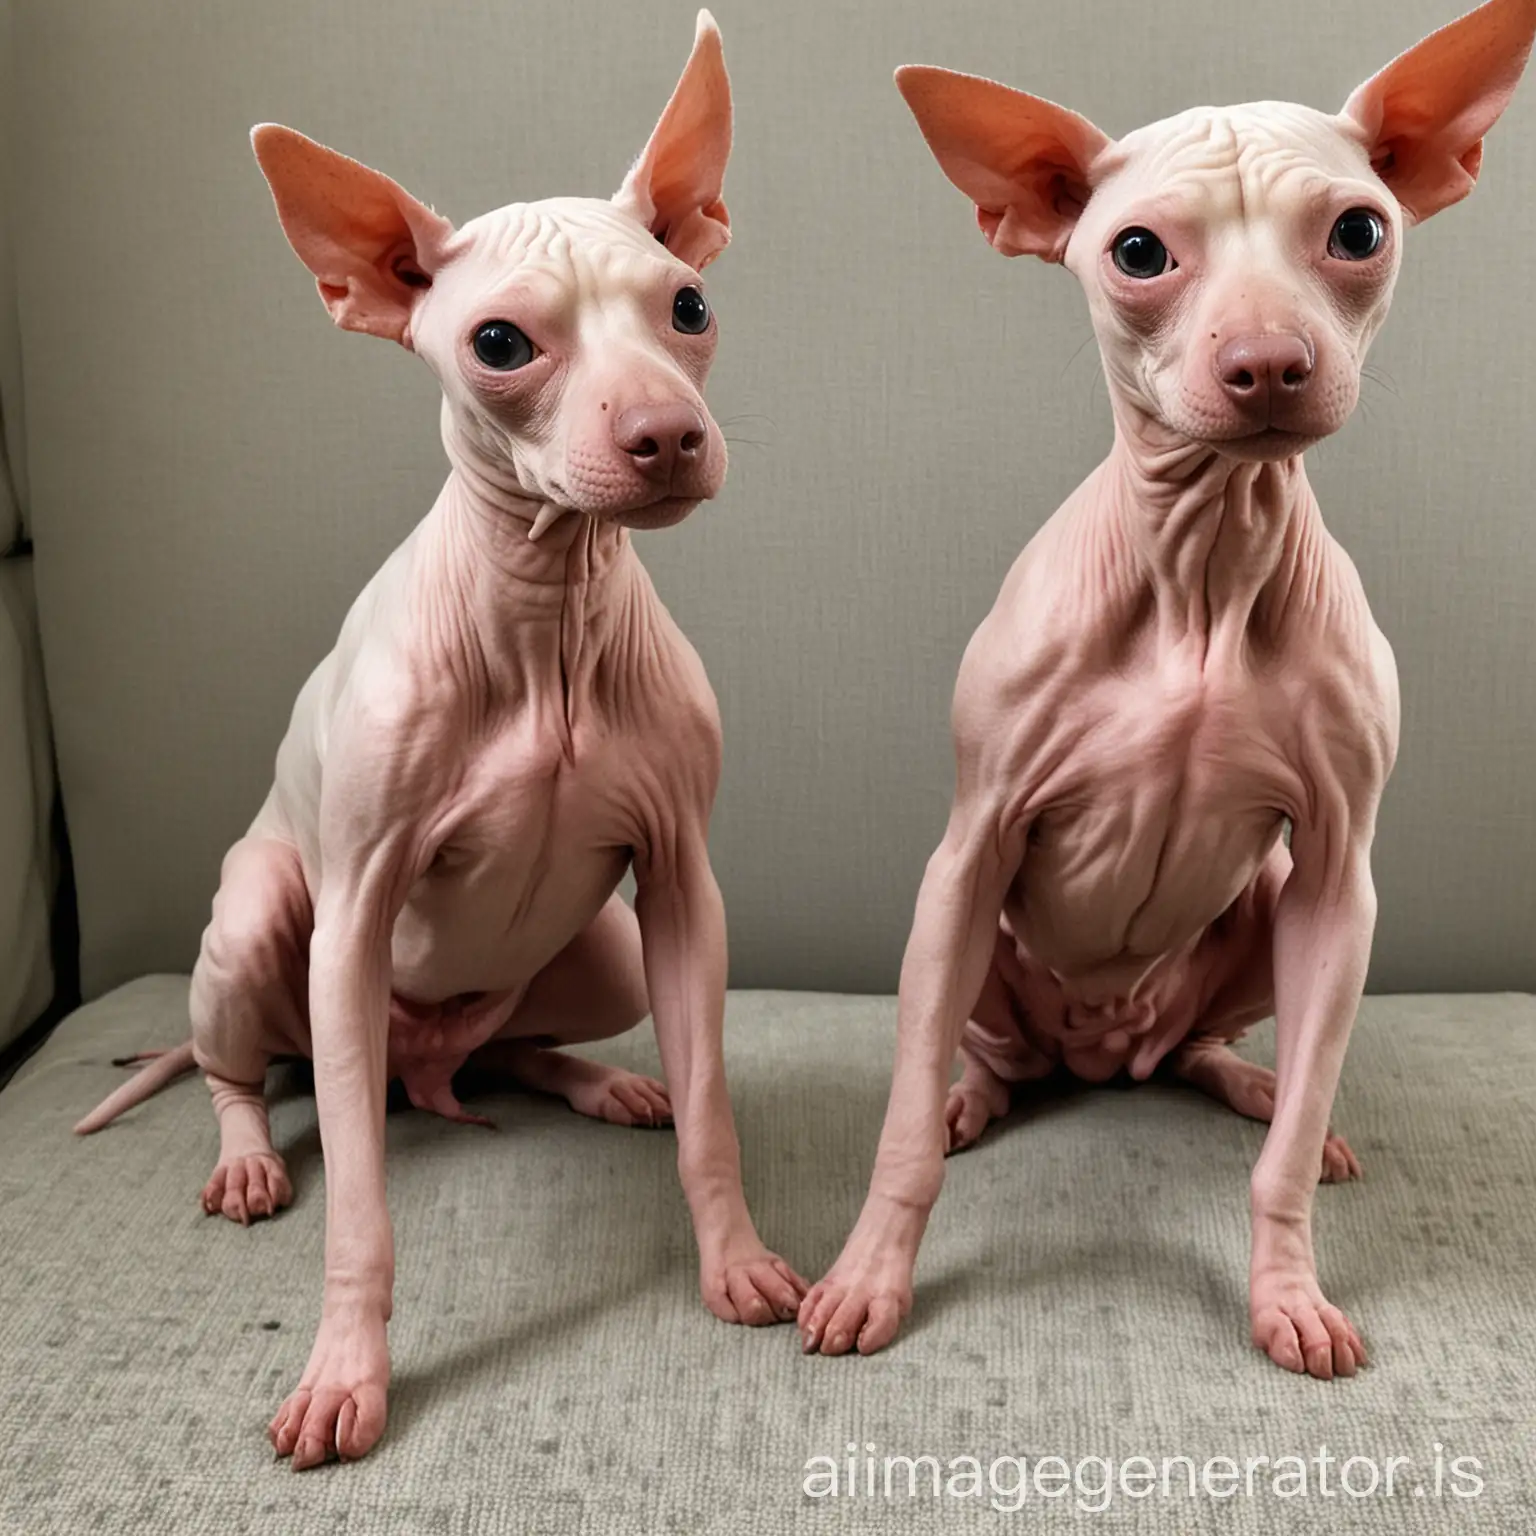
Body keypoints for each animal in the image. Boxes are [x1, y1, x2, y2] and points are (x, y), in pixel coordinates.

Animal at [77, 14, 811, 1474]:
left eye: (687, 308)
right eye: (499, 342)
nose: (669, 436)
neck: (544, 616)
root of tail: (426, 1068)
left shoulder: (680, 889)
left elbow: (712, 1116)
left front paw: (736, 1260)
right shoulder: (353, 919)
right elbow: (361, 1206)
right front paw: (345, 1373)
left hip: (601, 954)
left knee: (505, 1049)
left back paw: (591, 1083)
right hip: (265, 929)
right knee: (244, 1068)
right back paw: (248, 1153)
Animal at [804, 0, 1536, 1376]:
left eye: (1358, 231)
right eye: (1138, 252)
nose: (1267, 365)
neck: (1204, 564)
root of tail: (1106, 1058)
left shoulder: (1339, 876)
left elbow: (1284, 1167)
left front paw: (1287, 1286)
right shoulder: (974, 846)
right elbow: (899, 1139)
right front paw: (871, 1274)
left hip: (1272, 916)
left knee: (1209, 1051)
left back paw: (1256, 1088)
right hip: (965, 947)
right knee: (982, 1061)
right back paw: (976, 1098)